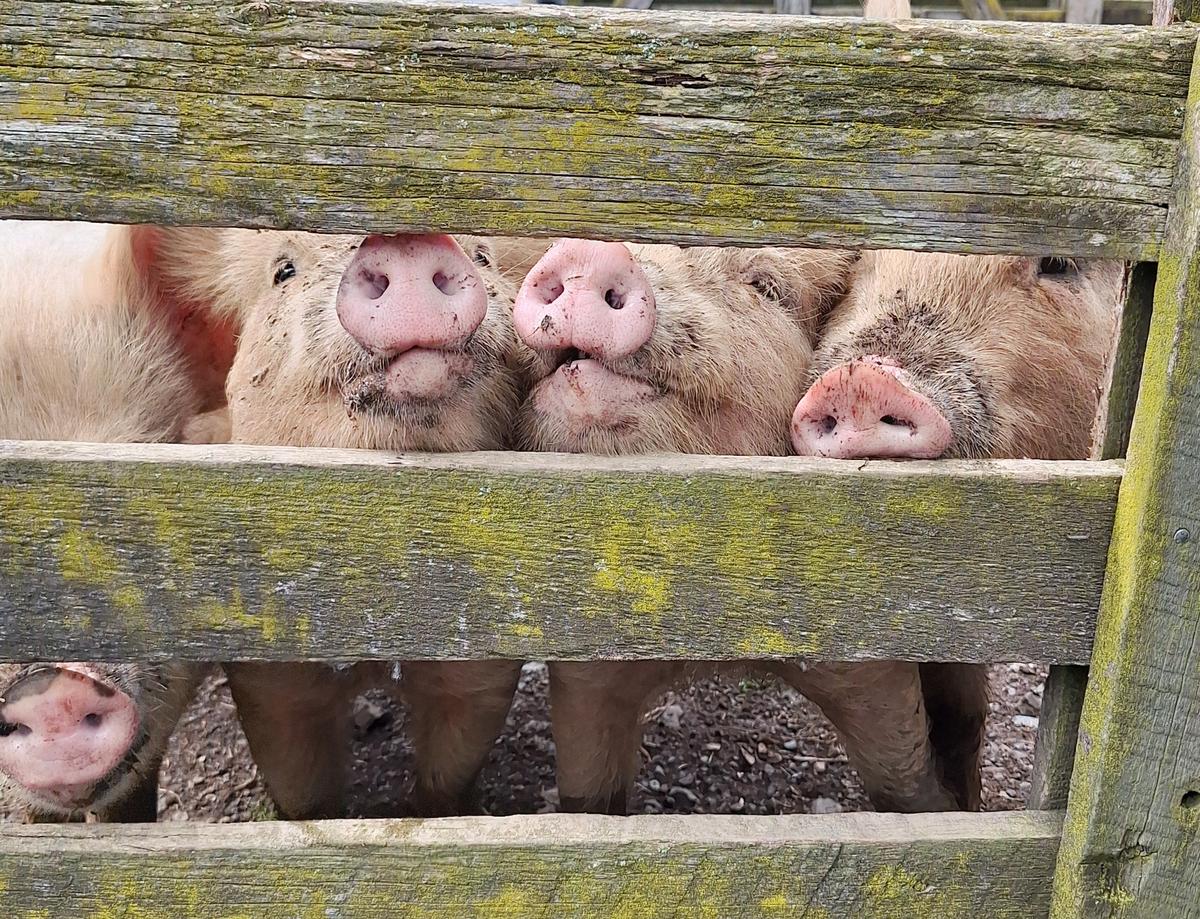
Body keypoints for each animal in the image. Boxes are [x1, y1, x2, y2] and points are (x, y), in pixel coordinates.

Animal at [148, 228, 531, 817]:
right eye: (283, 270)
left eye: (484, 255)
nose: (410, 243)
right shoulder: (266, 671)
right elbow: (301, 786)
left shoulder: (483, 663)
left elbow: (450, 772)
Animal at [504, 239, 961, 815]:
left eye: (765, 286)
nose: (590, 252)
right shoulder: (583, 656)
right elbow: (590, 795)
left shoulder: (868, 650)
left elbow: (905, 784)